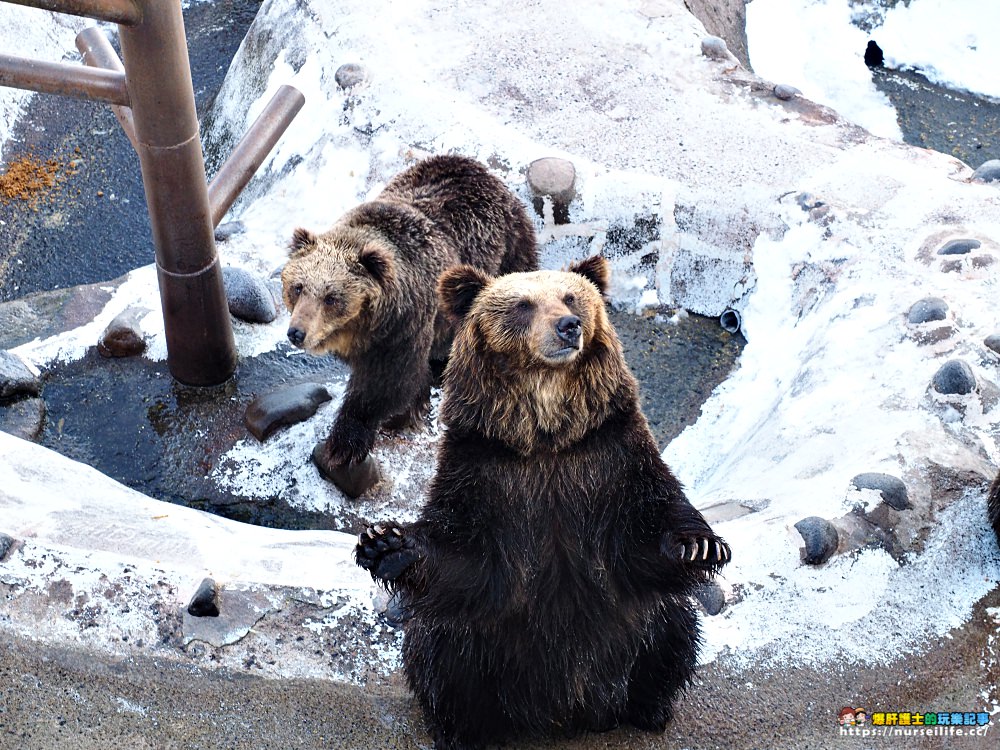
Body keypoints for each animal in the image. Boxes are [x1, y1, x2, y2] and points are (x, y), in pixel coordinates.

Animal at [282, 153, 540, 470]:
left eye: (331, 297)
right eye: (298, 287)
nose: (297, 333)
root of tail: (476, 166)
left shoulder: (403, 327)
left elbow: (386, 383)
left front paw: (343, 443)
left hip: (506, 249)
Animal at [356, 258, 732, 750]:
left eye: (571, 296)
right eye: (523, 304)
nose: (568, 325)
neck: (545, 437)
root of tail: (563, 713)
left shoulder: (609, 456)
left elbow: (647, 526)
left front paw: (699, 545)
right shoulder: (484, 471)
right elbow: (461, 550)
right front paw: (385, 542)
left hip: (628, 635)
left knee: (672, 625)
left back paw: (649, 709)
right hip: (489, 646)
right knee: (440, 649)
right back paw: (462, 731)